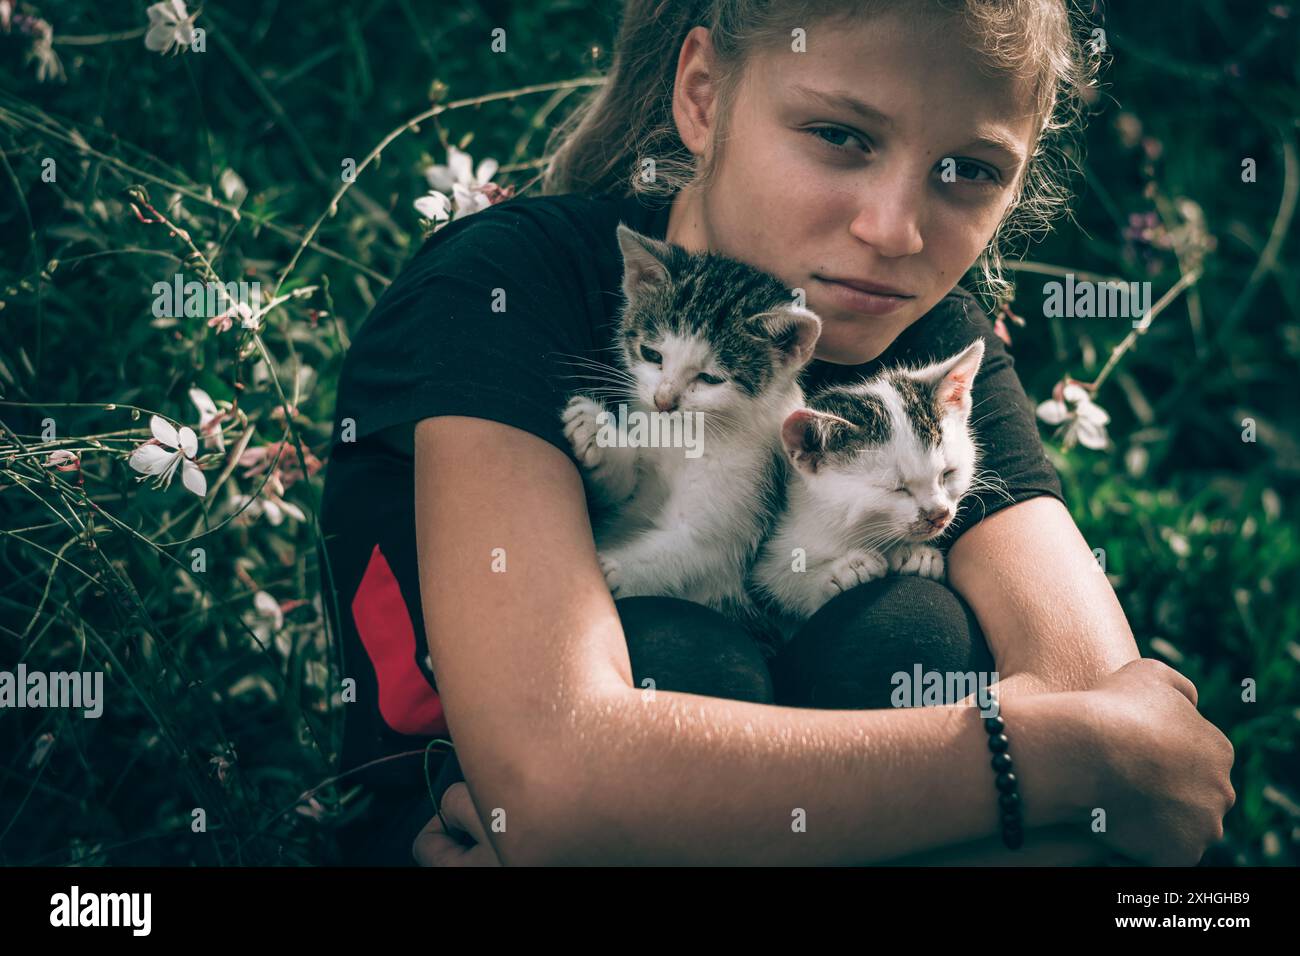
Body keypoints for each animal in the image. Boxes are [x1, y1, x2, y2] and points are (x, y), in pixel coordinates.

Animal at [561, 223, 821, 629]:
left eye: (710, 378)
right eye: (652, 354)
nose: (663, 402)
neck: (686, 434)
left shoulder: (742, 512)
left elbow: (691, 550)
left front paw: (610, 571)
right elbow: (617, 495)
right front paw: (598, 434)